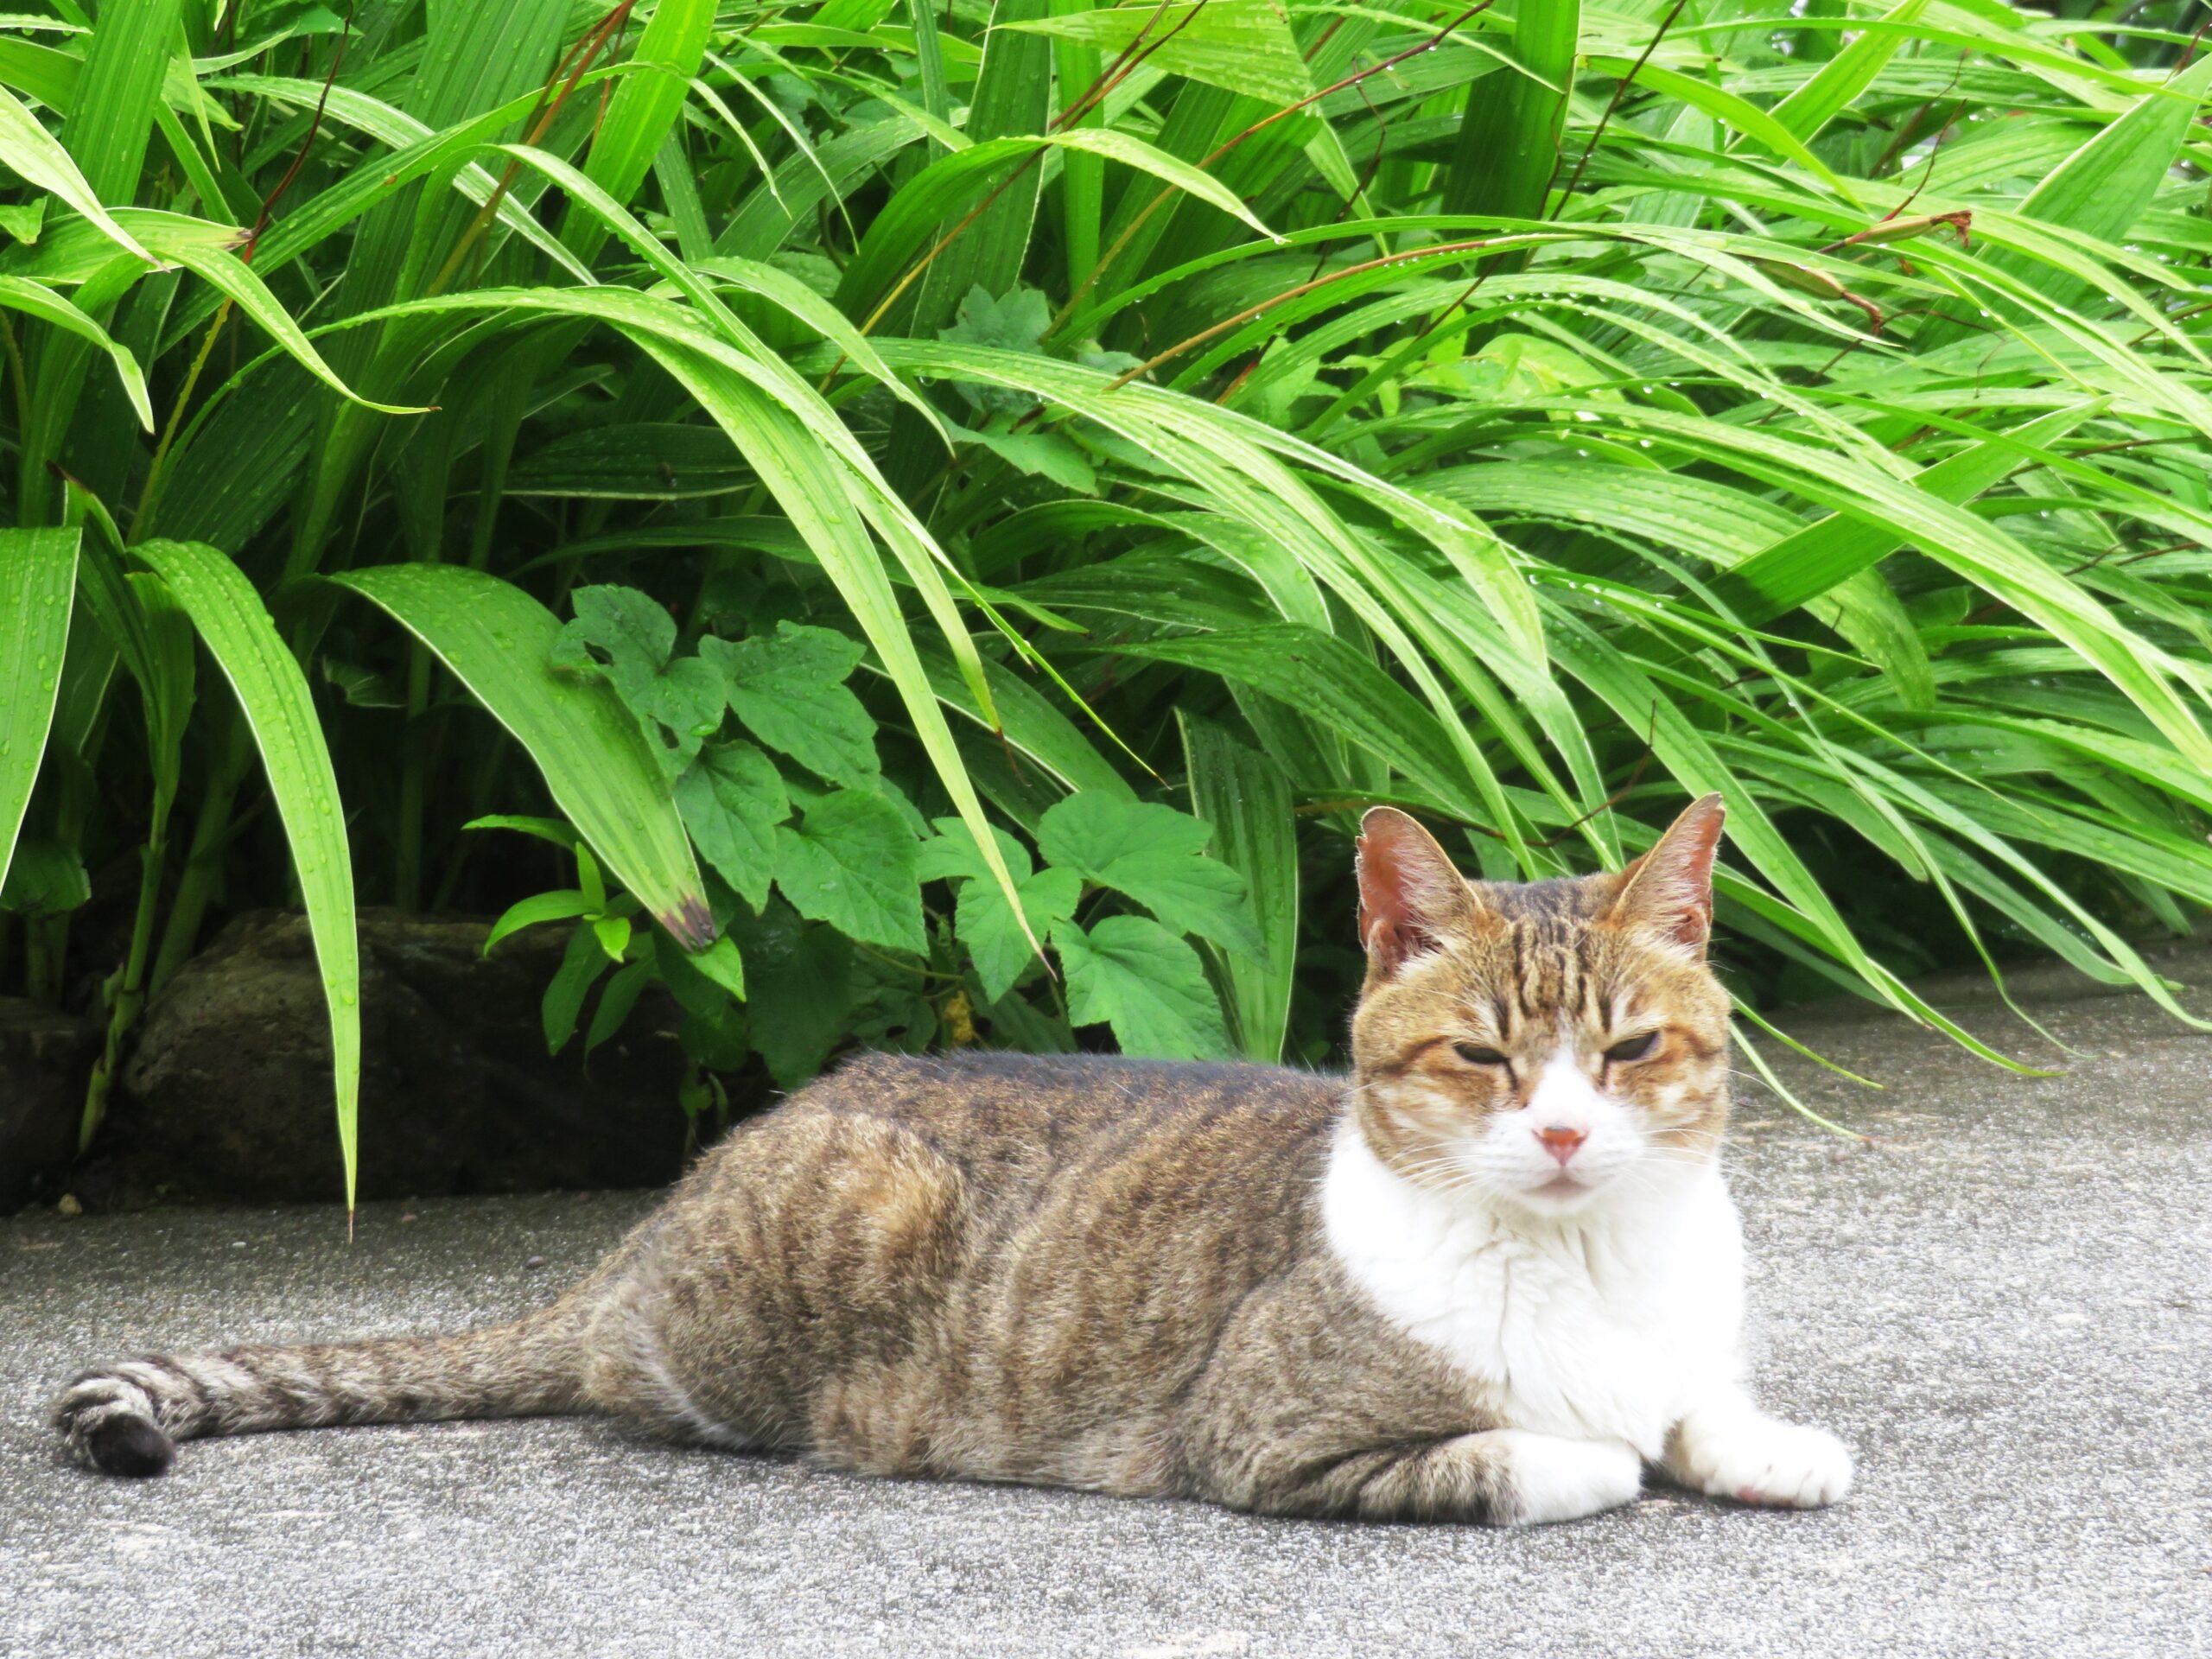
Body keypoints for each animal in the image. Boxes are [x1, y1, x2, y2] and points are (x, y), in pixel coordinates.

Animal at [52, 800, 1849, 1530]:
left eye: (1630, 1051)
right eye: (1481, 1058)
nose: (1562, 1132)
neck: (1587, 1263)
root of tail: (654, 1222)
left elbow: (1693, 1406)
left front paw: (1766, 1444)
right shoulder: (1271, 1443)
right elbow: (1567, 1453)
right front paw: (1608, 1451)